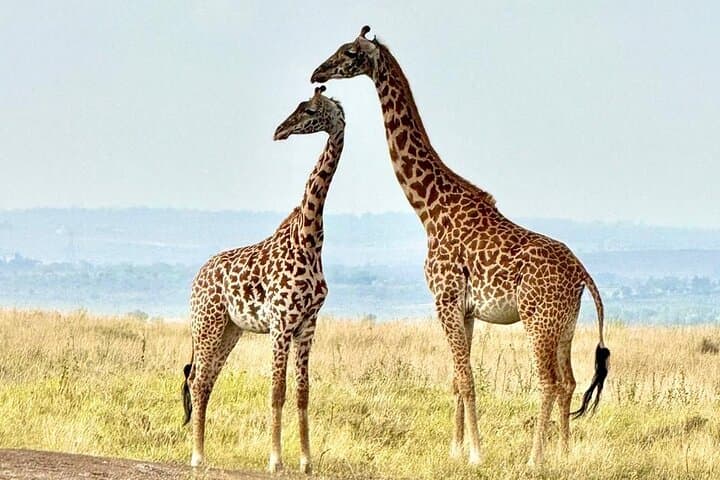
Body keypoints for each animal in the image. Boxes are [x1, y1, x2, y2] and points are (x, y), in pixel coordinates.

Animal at [181, 86, 344, 474]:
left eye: (310, 110)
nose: (280, 131)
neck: (310, 239)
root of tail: (197, 277)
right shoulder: (281, 323)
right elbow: (277, 391)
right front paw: (275, 461)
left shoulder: (307, 325)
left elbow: (302, 392)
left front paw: (306, 463)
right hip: (207, 323)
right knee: (197, 379)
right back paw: (197, 456)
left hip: (230, 330)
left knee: (207, 380)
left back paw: (202, 453)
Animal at [311, 26, 610, 466]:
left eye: (349, 52)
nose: (317, 72)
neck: (430, 208)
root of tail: (583, 275)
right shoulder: (465, 309)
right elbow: (457, 378)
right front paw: (455, 448)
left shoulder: (445, 298)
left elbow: (466, 379)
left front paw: (476, 453)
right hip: (565, 324)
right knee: (570, 382)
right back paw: (565, 454)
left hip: (538, 319)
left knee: (549, 382)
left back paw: (535, 458)